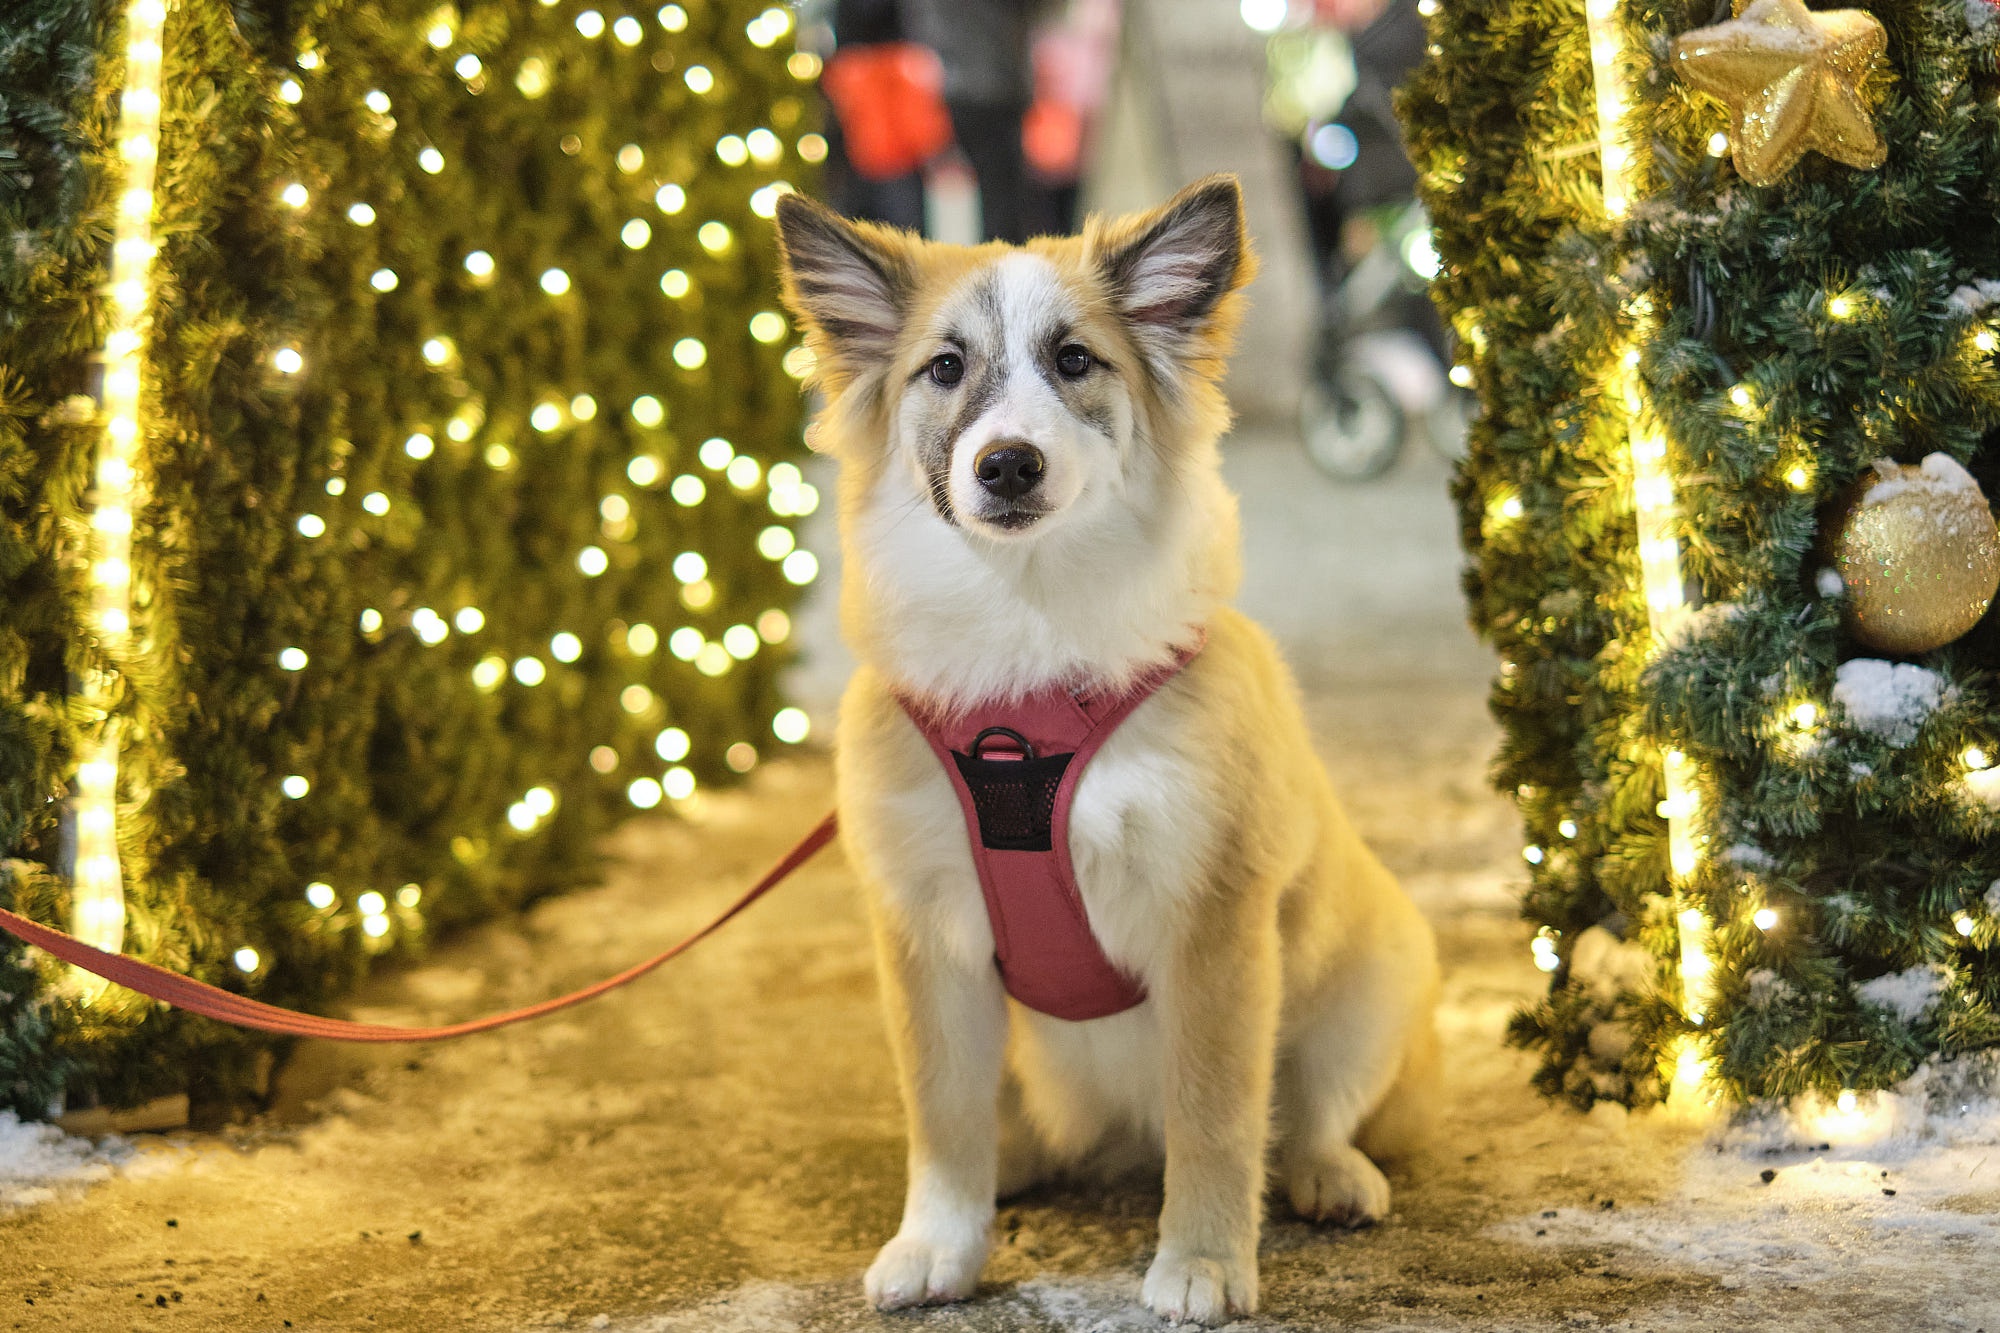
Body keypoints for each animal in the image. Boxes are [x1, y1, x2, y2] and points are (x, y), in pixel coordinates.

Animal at [768, 174, 1440, 1320]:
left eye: (1075, 360)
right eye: (943, 368)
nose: (1007, 465)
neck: (1027, 651)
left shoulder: (1213, 925)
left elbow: (1218, 1117)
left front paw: (1204, 1261)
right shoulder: (925, 938)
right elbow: (941, 1117)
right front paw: (940, 1243)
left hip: (1376, 976)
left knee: (1305, 1113)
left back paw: (1327, 1174)